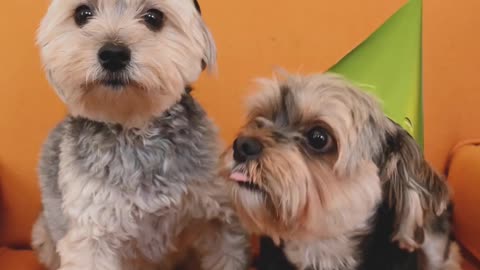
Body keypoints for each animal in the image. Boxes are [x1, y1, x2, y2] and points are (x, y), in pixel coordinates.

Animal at [31, 0, 248, 270]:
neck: (135, 130)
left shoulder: (218, 216)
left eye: (154, 17)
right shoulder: (92, 233)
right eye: (82, 13)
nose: (113, 54)